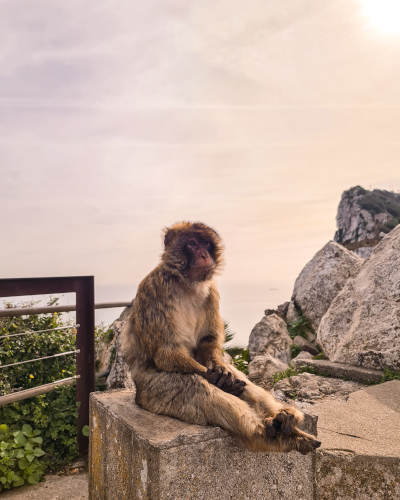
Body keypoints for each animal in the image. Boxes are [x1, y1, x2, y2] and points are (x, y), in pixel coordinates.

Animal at [120, 222, 320, 454]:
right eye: (192, 243)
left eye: (206, 243)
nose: (204, 255)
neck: (186, 284)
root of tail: (138, 395)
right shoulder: (156, 287)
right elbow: (167, 353)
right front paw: (216, 378)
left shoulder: (212, 292)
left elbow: (209, 341)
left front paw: (221, 372)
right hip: (153, 392)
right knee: (196, 387)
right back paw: (267, 434)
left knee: (241, 381)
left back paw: (284, 419)